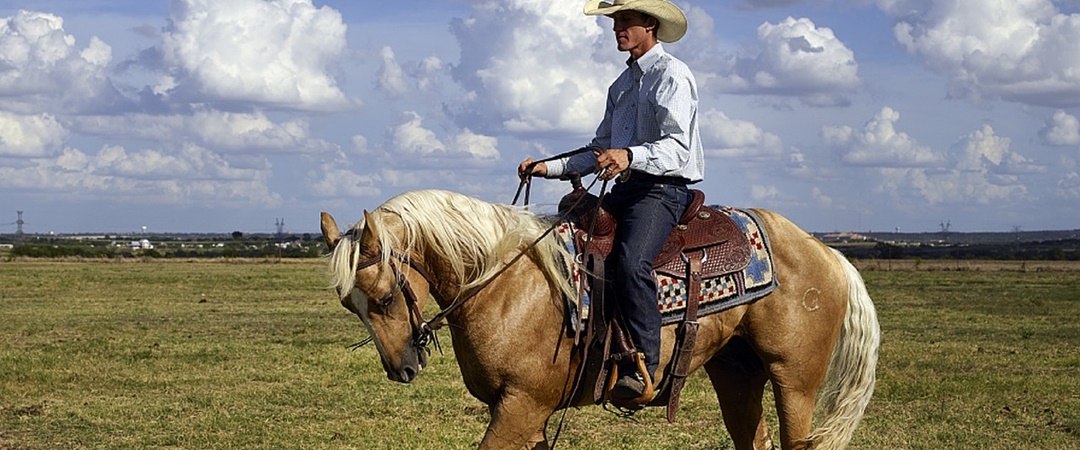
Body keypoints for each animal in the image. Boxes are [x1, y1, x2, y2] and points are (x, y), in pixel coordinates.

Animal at [319, 187, 876, 446]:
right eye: (350, 304)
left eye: (384, 297)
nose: (401, 368)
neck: (506, 283)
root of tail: (827, 252)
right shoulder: (528, 413)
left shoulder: (521, 406)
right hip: (737, 374)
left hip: (795, 381)